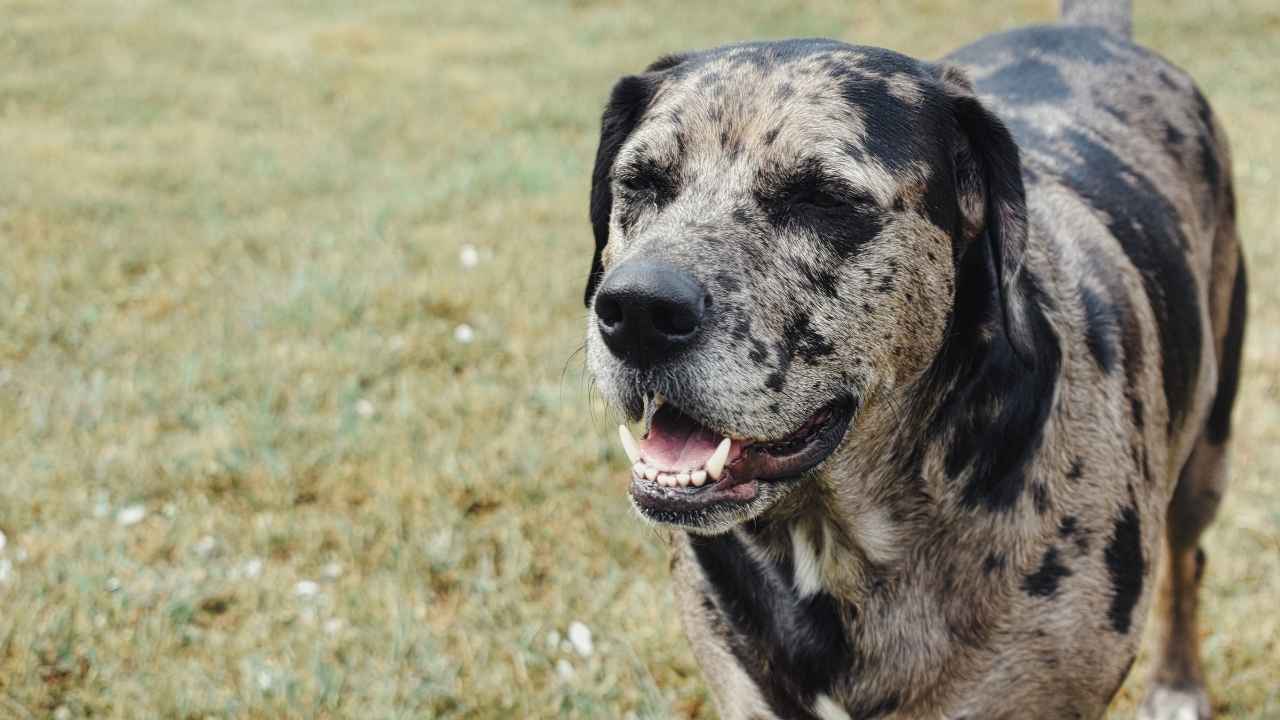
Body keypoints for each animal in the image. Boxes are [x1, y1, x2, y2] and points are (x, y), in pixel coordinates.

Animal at [586, 1, 1244, 717]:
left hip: (1207, 451)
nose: (638, 312)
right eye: (641, 183)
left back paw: (1177, 682)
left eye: (822, 198)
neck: (839, 543)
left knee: (1190, 556)